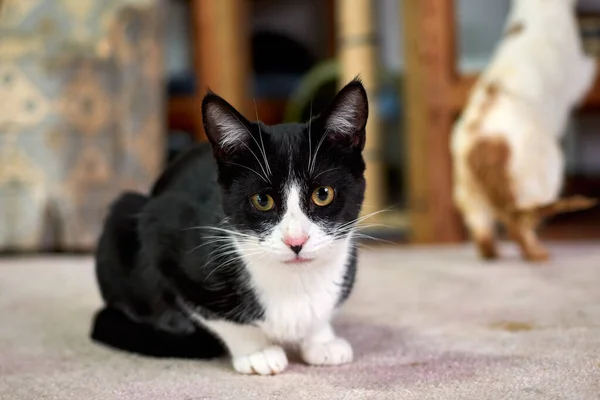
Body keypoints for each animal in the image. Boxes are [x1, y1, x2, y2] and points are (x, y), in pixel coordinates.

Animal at [91, 79, 368, 376]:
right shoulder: (163, 237)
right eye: (262, 200)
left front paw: (321, 340)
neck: (294, 282)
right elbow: (218, 317)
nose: (296, 241)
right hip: (125, 213)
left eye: (323, 194)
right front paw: (257, 351)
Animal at [452, 0, 596, 262]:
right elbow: (588, 66)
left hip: (469, 196)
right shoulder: (579, 71)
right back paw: (538, 253)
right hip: (542, 177)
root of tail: (480, 145)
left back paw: (494, 254)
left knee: (484, 238)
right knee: (518, 227)